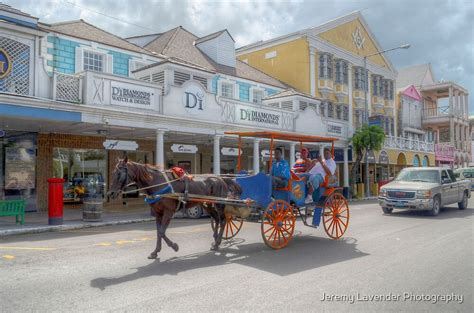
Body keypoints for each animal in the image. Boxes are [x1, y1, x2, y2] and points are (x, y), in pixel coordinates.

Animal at [107, 157, 241, 260]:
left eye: (119, 174)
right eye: (112, 173)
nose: (110, 193)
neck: (157, 183)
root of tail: (221, 178)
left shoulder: (168, 211)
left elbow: (162, 232)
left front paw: (174, 246)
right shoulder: (158, 213)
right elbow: (158, 232)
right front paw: (155, 252)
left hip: (219, 204)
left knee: (223, 220)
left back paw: (217, 242)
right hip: (207, 204)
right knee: (216, 219)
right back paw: (215, 241)